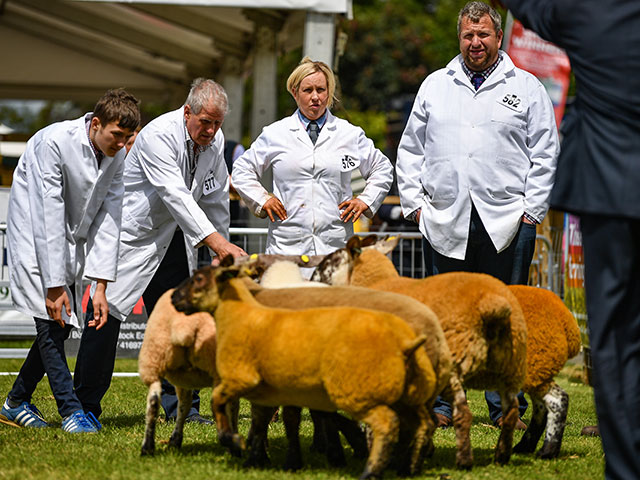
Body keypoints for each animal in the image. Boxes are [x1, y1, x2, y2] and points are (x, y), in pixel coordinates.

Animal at [312, 236, 528, 468]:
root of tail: (492, 304)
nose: (313, 280)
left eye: (330, 260)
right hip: (509, 367)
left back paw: (463, 460)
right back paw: (501, 456)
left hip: (453, 364)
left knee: (463, 413)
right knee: (510, 412)